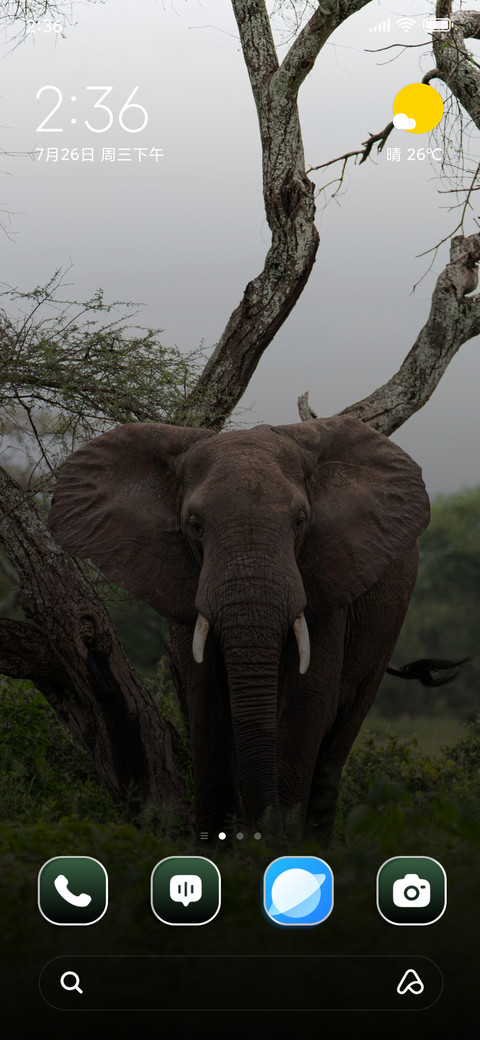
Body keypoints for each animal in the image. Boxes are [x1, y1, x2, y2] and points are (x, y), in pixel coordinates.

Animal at [48, 415, 431, 844]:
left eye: (300, 521)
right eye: (195, 526)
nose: (265, 835)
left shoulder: (329, 580)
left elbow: (307, 700)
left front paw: (280, 848)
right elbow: (207, 697)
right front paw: (222, 849)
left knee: (341, 734)